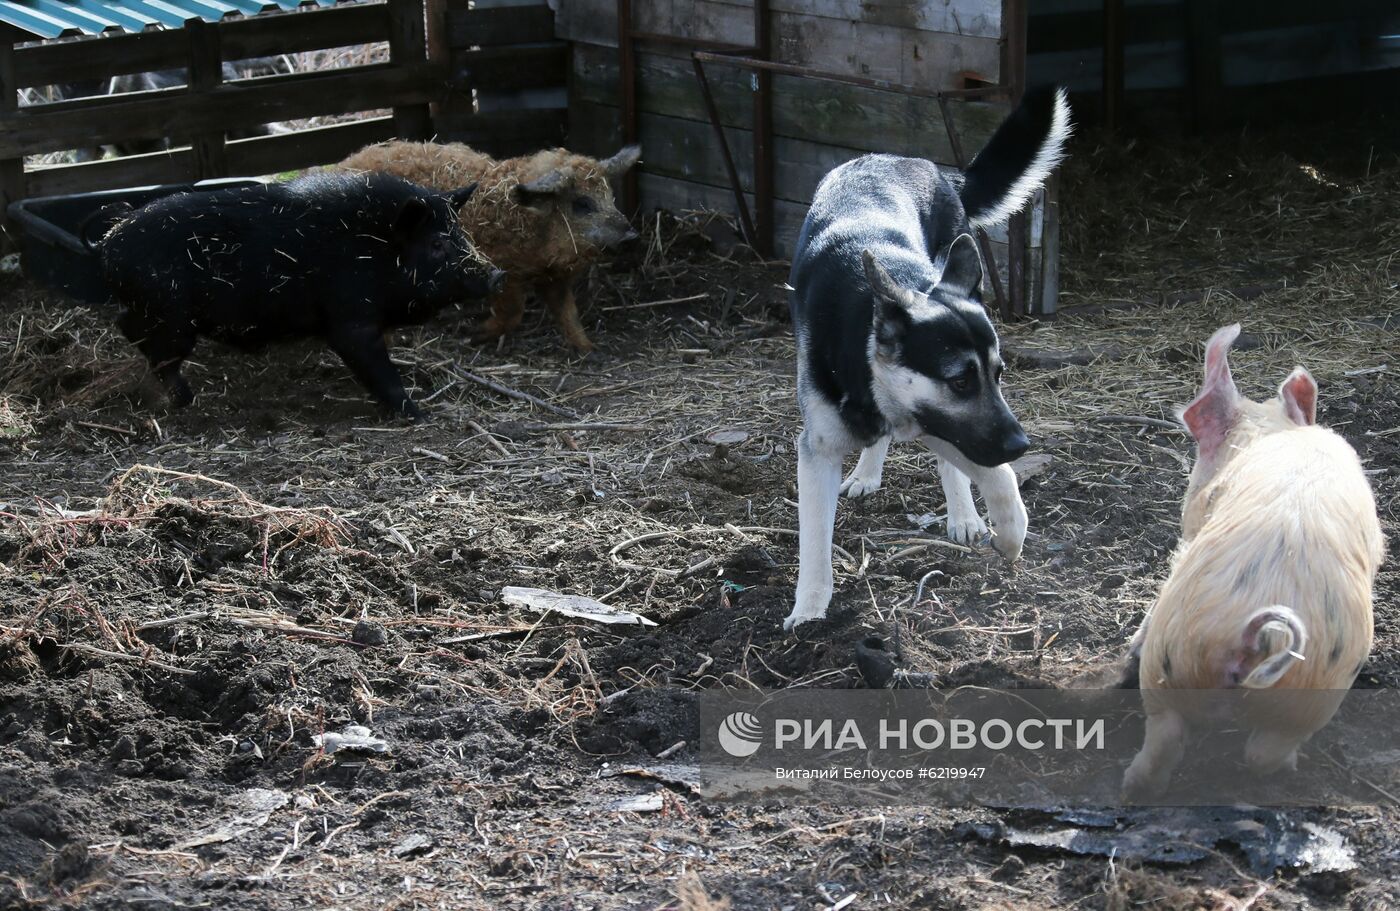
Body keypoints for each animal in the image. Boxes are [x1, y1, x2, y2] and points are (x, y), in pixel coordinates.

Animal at [100, 172, 504, 419]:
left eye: (461, 233)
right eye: (436, 244)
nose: (497, 274)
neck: (374, 251)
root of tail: (108, 246)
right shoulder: (350, 319)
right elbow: (376, 365)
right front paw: (418, 414)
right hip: (171, 320)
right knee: (151, 347)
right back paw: (187, 400)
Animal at [336, 140, 641, 351]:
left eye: (611, 196)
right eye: (582, 204)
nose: (632, 237)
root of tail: (342, 165)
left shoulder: (553, 279)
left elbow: (568, 312)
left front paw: (590, 350)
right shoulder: (505, 271)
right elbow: (513, 313)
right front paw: (472, 336)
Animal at [784, 85, 1064, 629]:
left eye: (999, 374)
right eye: (960, 380)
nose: (1021, 445)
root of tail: (916, 162)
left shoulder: (949, 422)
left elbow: (992, 473)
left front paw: (1008, 530)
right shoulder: (820, 449)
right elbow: (815, 543)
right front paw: (808, 611)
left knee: (952, 465)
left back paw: (963, 515)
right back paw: (869, 473)